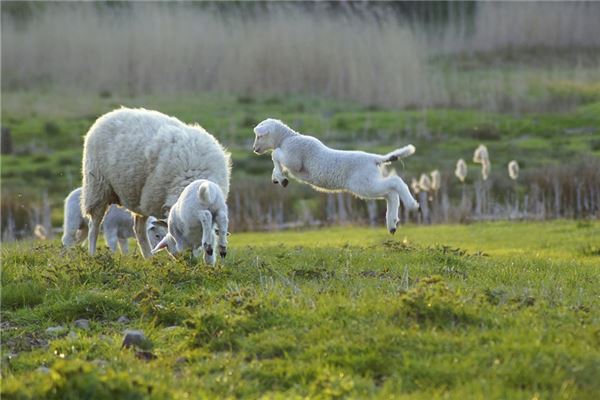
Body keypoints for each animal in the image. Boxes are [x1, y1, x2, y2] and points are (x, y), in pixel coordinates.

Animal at [79, 108, 230, 260]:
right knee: (94, 225)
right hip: (97, 187)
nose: (182, 258)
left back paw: (148, 258)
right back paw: (92, 253)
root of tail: (109, 114)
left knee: (139, 229)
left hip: (138, 197)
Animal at [252, 117, 418, 233]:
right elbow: (276, 160)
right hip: (368, 184)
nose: (254, 149)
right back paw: (392, 224)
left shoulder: (294, 159)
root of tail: (374, 159)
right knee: (390, 194)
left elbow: (275, 154)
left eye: (259, 136)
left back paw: (412, 205)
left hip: (365, 184)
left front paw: (281, 178)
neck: (287, 139)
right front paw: (278, 178)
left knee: (395, 182)